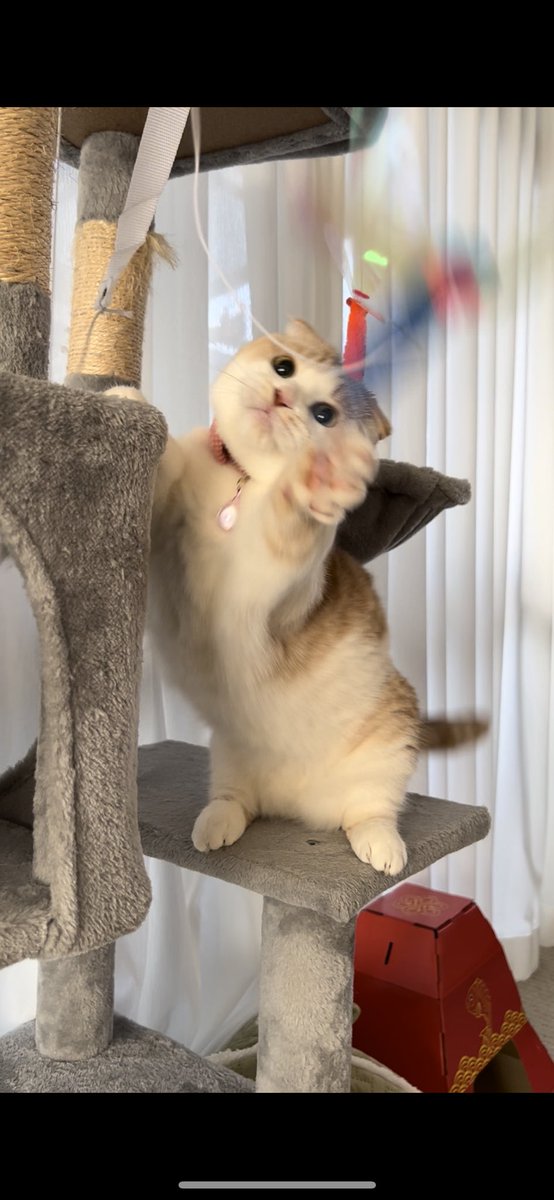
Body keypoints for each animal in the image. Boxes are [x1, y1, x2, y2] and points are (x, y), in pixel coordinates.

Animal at [108, 319, 485, 875]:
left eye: (324, 414)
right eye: (283, 367)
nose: (283, 397)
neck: (238, 483)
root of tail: (296, 806)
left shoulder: (275, 586)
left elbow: (285, 523)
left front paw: (309, 483)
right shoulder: (160, 531)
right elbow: (166, 465)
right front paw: (126, 396)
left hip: (391, 742)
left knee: (371, 811)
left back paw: (381, 844)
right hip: (228, 753)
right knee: (235, 799)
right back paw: (216, 825)